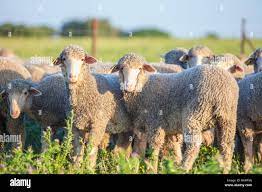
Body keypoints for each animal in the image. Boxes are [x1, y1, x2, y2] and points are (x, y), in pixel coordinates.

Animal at [110, 53, 239, 174]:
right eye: (121, 68)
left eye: (140, 68)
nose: (128, 86)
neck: (143, 87)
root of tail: (220, 88)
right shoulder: (147, 128)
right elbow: (142, 152)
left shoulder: (155, 124)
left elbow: (154, 149)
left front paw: (152, 169)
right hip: (227, 117)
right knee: (227, 145)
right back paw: (225, 169)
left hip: (194, 115)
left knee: (194, 145)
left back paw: (184, 168)